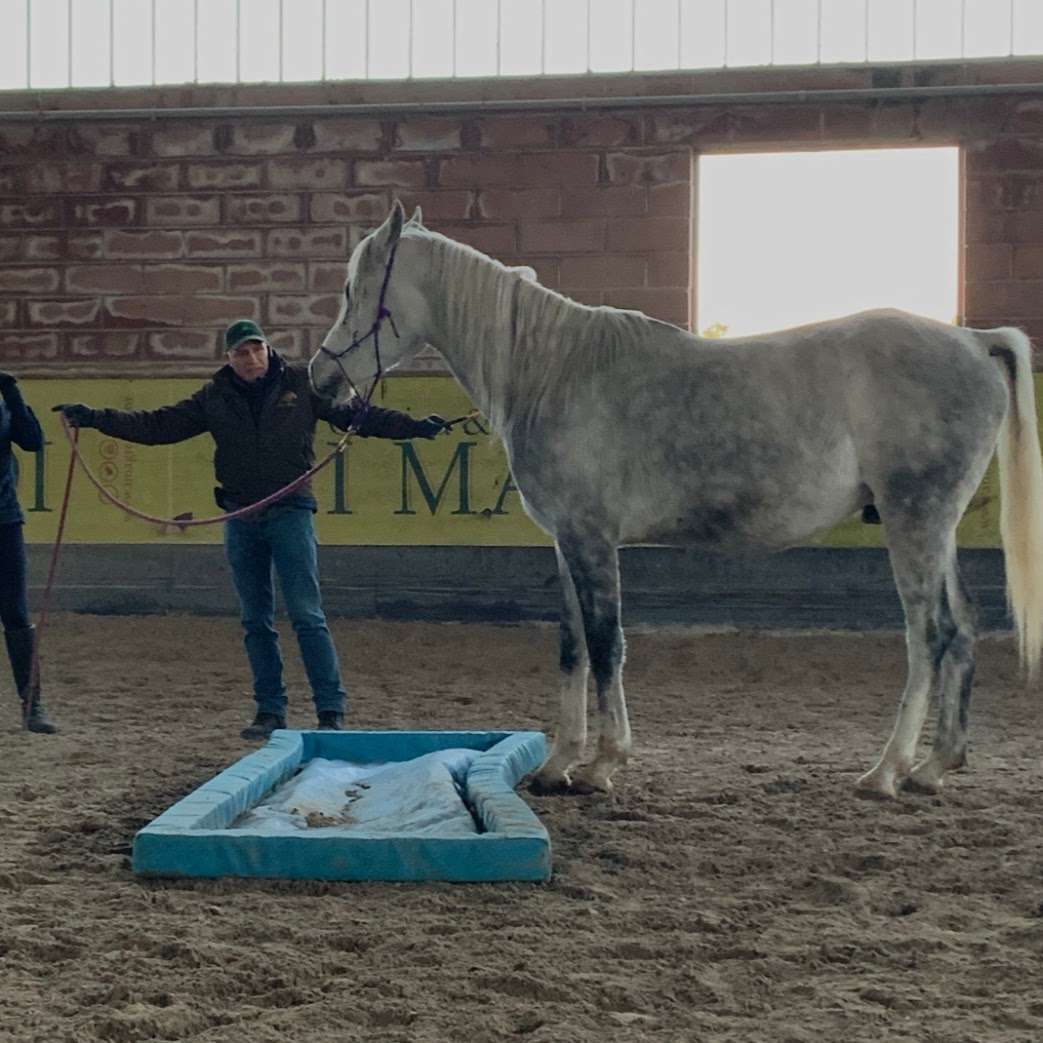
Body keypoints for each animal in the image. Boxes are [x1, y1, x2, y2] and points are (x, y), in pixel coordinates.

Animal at [309, 200, 1043, 800]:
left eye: (352, 289)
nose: (320, 377)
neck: (550, 369)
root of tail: (973, 340)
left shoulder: (592, 538)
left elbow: (607, 643)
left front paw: (604, 764)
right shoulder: (566, 542)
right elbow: (572, 647)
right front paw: (557, 765)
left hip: (913, 519)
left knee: (930, 633)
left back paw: (886, 770)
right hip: (934, 527)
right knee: (963, 627)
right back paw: (935, 765)